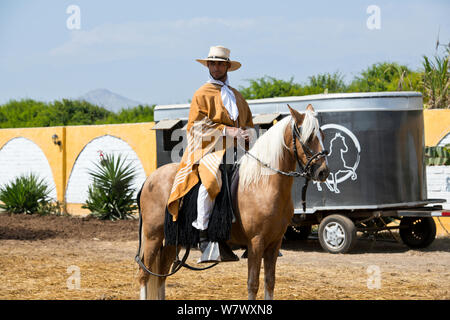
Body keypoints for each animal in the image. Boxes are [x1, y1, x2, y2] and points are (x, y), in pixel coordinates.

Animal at [135, 105, 328, 300]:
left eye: (322, 135)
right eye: (309, 137)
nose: (323, 172)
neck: (262, 184)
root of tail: (150, 179)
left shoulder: (274, 243)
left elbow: (270, 282)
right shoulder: (256, 243)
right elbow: (253, 284)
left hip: (171, 240)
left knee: (161, 275)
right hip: (153, 236)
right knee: (144, 274)